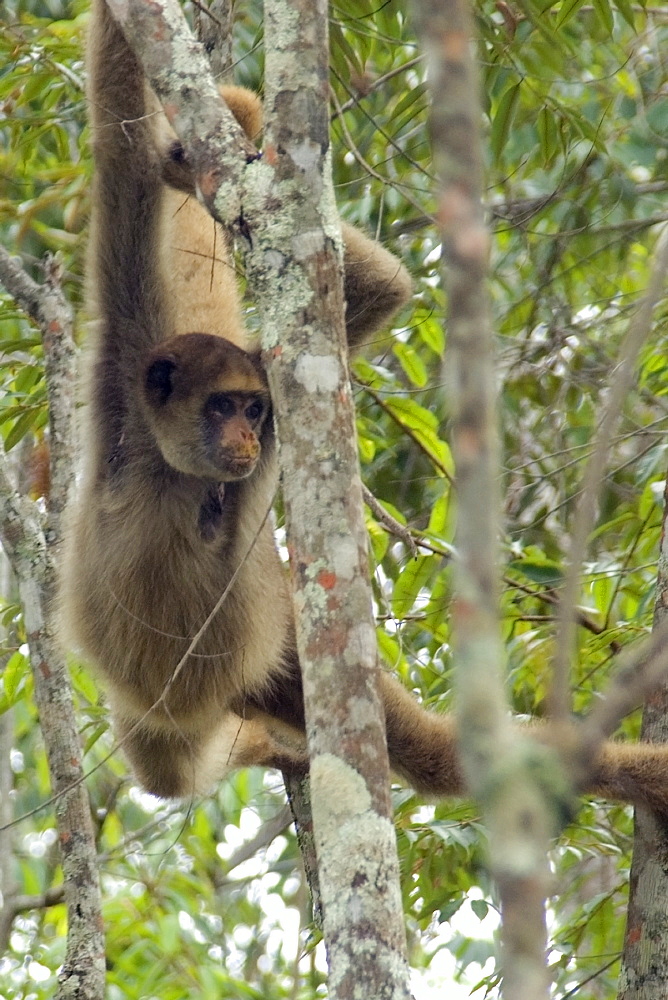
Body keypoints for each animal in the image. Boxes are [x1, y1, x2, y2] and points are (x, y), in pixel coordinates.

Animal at [62, 0, 668, 816]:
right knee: (167, 771)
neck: (178, 474)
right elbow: (118, 146)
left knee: (439, 757)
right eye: (222, 408)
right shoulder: (122, 383)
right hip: (183, 698)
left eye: (254, 412)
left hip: (278, 658)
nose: (246, 443)